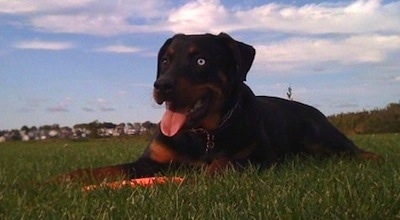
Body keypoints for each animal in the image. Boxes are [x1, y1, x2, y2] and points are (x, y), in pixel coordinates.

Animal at [57, 32, 378, 182]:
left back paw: (374, 159)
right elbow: (110, 169)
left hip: (319, 135)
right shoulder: (149, 162)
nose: (161, 85)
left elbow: (225, 162)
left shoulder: (260, 157)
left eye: (200, 61)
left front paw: (205, 173)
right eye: (166, 60)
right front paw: (67, 178)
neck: (202, 135)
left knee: (355, 151)